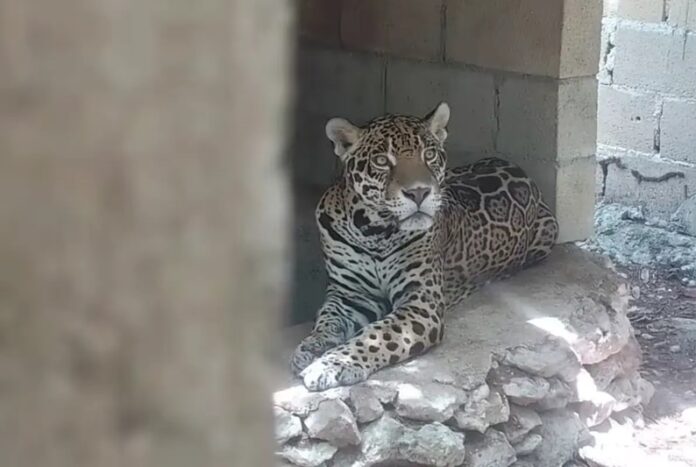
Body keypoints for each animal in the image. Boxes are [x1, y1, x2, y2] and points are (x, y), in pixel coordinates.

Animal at [292, 102, 558, 391]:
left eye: (429, 155)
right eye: (382, 160)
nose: (419, 193)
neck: (373, 231)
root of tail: (513, 165)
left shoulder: (420, 303)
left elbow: (375, 335)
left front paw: (333, 364)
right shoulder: (350, 295)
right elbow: (328, 320)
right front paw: (311, 346)